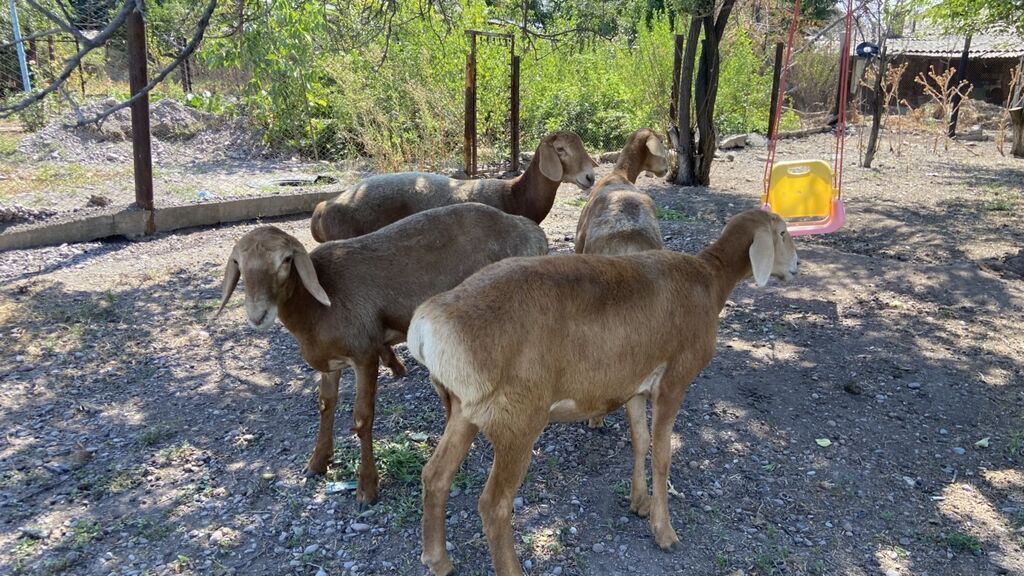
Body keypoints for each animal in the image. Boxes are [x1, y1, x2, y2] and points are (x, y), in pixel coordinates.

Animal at [218, 203, 549, 505]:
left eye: (286, 260)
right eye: (239, 263)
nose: (258, 315)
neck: (318, 305)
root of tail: (532, 232)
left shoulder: (364, 353)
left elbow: (362, 419)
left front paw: (367, 488)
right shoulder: (330, 363)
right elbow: (326, 405)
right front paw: (318, 462)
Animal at [408, 209, 798, 576]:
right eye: (782, 232)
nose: (796, 266)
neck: (711, 280)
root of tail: (428, 326)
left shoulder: (635, 384)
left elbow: (641, 440)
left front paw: (639, 502)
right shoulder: (674, 380)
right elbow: (662, 456)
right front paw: (664, 532)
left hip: (464, 410)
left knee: (435, 476)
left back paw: (437, 559)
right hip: (516, 420)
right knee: (493, 504)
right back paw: (509, 568)